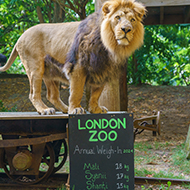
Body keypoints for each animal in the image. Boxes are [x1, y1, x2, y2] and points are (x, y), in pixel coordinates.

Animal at [0, 0, 146, 115]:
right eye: (118, 17)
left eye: (132, 20)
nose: (126, 29)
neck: (110, 46)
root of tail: (20, 37)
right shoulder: (78, 66)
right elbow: (77, 91)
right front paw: (76, 109)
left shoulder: (102, 69)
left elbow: (96, 93)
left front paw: (95, 109)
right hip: (35, 68)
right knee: (33, 94)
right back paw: (45, 110)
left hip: (50, 72)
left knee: (52, 95)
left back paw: (64, 109)